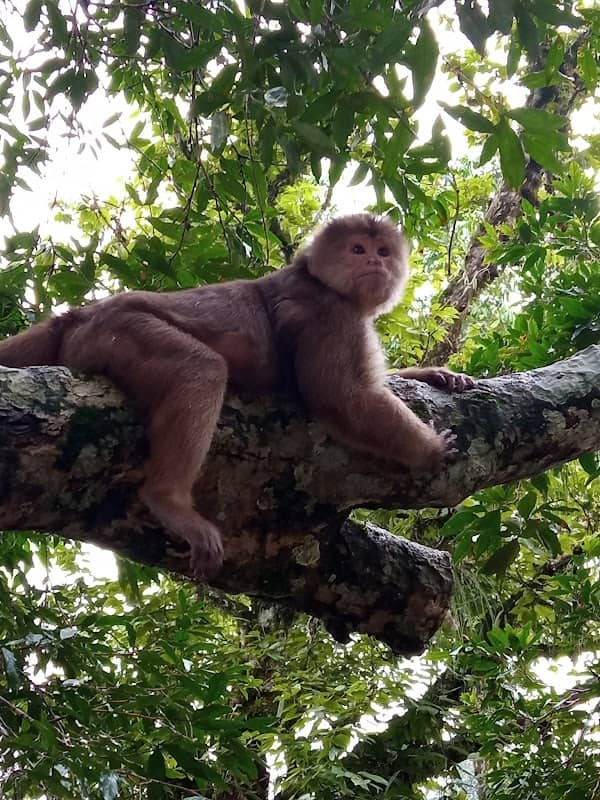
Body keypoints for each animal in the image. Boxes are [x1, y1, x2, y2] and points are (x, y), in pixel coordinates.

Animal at [0, 214, 474, 580]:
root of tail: (82, 313)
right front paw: (430, 450)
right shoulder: (328, 312)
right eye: (358, 250)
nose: (376, 261)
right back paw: (169, 500)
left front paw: (433, 374)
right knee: (201, 369)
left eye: (383, 251)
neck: (321, 282)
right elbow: (341, 397)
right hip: (120, 330)